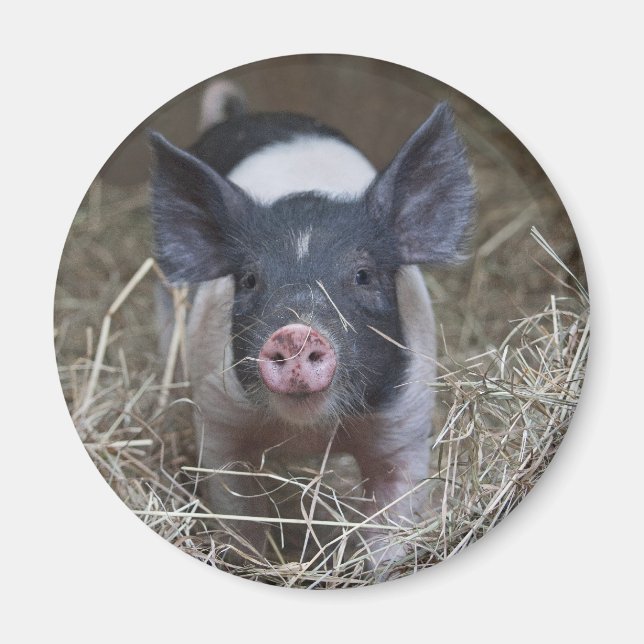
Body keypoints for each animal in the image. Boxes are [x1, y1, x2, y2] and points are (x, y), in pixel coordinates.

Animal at [150, 97, 475, 576]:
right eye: (249, 280)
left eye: (363, 275)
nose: (296, 332)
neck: (311, 433)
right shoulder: (221, 420)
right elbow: (238, 514)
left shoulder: (405, 424)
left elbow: (392, 513)